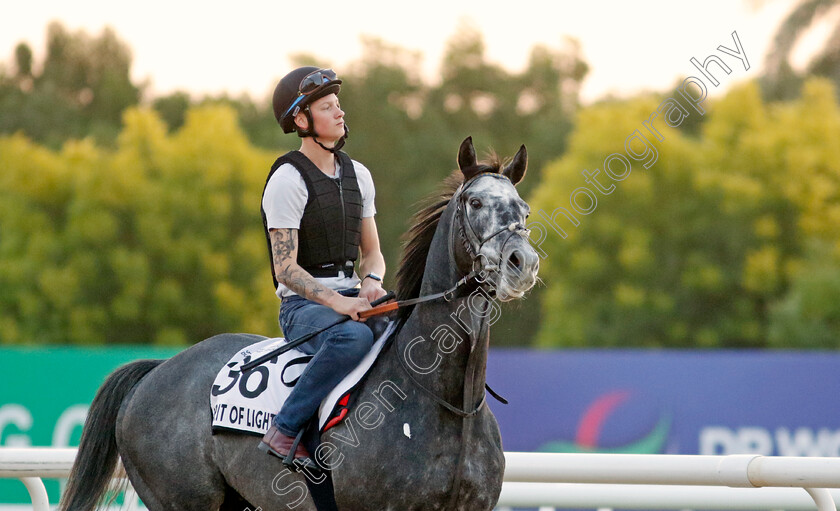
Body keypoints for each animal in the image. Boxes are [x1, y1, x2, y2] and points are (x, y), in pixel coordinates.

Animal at [62, 137, 540, 511]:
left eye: (524, 209)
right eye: (475, 202)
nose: (522, 263)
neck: (444, 401)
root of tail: (157, 370)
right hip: (180, 500)